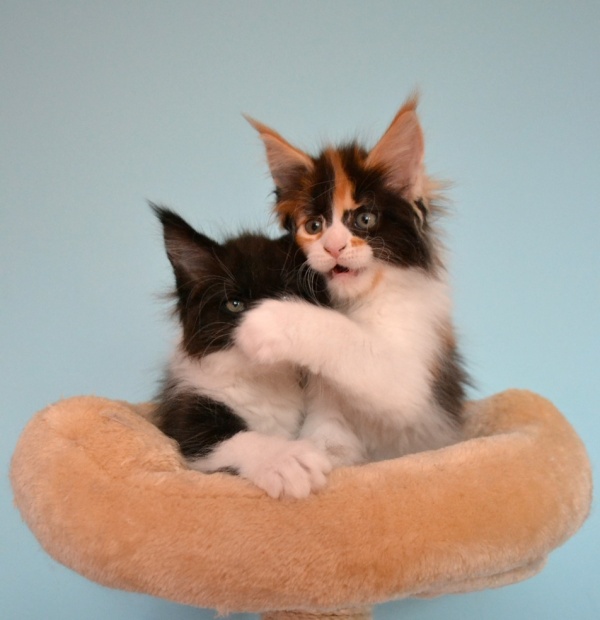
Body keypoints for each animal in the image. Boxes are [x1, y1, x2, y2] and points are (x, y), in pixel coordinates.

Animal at [151, 205, 332, 498]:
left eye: (287, 299)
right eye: (235, 305)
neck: (263, 381)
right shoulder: (184, 414)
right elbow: (225, 439)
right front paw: (286, 459)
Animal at [235, 95, 469, 467]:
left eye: (365, 219)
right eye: (314, 226)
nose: (333, 247)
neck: (358, 300)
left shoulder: (413, 376)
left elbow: (349, 339)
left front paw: (266, 322)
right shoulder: (322, 396)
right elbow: (328, 434)